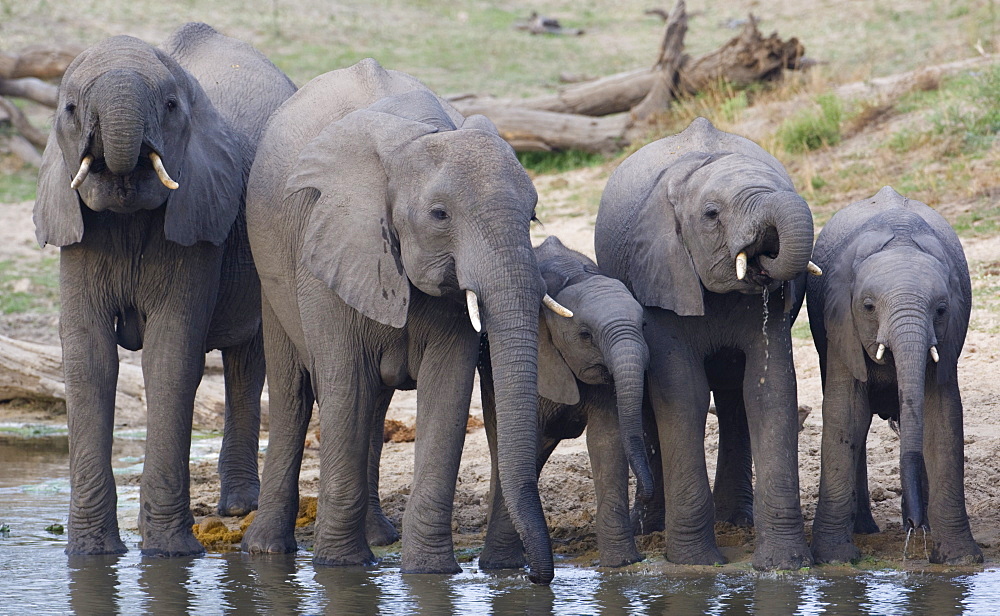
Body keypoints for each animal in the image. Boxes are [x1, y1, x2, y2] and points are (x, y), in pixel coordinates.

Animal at [32, 22, 296, 560]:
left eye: (172, 105)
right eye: (68, 108)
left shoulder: (197, 218)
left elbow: (170, 357)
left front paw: (170, 555)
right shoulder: (78, 232)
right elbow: (89, 359)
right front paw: (90, 556)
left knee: (246, 361)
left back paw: (239, 508)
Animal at [238, 57, 568, 584]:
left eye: (534, 215)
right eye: (439, 215)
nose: (536, 579)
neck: (412, 141)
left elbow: (448, 388)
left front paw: (430, 573)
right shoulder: (327, 244)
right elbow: (343, 381)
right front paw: (340, 568)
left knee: (373, 402)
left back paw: (378, 538)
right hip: (269, 265)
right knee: (296, 391)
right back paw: (267, 551)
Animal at [478, 236, 652, 568]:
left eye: (644, 326)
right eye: (585, 335)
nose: (647, 493)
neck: (575, 276)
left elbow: (606, 441)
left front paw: (622, 564)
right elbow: (527, 443)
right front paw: (502, 567)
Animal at [592, 116, 820, 572]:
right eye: (712, 215)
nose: (767, 247)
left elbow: (769, 391)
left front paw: (785, 565)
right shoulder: (661, 276)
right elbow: (684, 393)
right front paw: (696, 563)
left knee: (733, 399)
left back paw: (735, 521)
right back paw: (651, 528)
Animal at [804, 185, 984, 564]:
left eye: (941, 310)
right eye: (869, 307)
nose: (914, 525)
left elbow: (942, 417)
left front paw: (959, 559)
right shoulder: (840, 322)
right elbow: (845, 415)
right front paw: (835, 559)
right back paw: (866, 530)